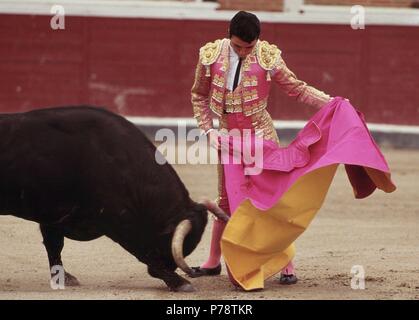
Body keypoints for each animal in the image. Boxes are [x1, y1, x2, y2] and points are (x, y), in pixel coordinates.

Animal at [0, 106, 230, 292]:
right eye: (165, 241)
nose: (168, 267)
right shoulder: (119, 222)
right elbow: (141, 251)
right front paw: (180, 282)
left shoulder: (52, 216)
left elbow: (54, 246)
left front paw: (65, 278)